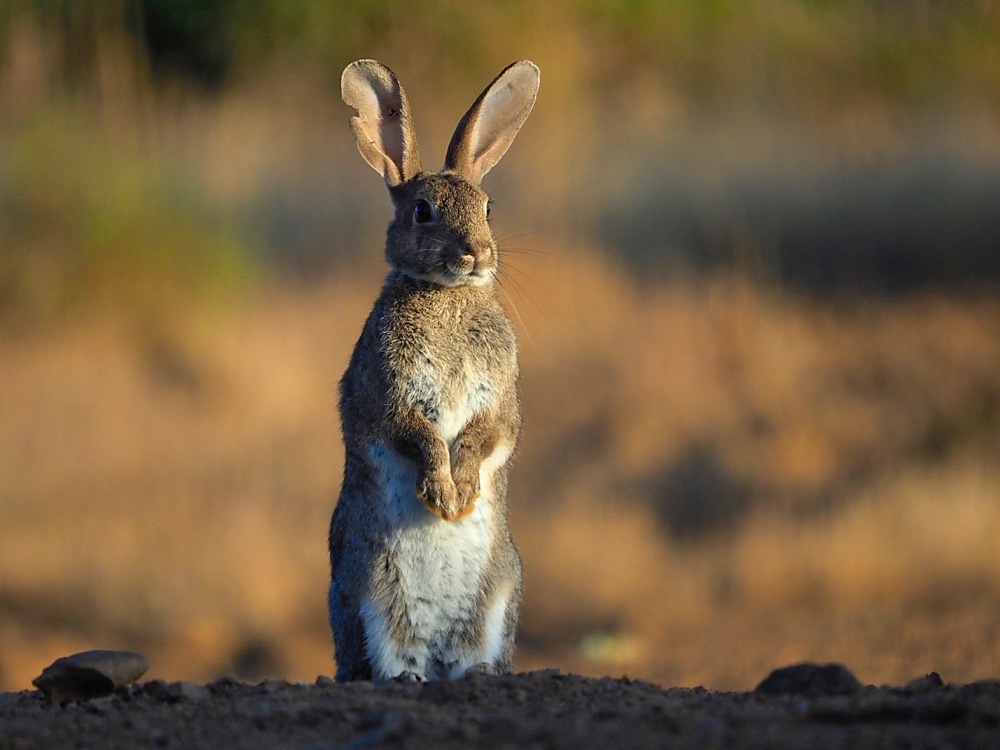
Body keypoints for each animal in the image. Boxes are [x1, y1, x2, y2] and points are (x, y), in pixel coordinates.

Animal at [328, 57, 540, 680]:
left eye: (488, 208)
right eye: (422, 212)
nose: (476, 254)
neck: (447, 294)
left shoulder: (499, 401)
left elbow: (485, 435)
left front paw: (461, 494)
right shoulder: (389, 397)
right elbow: (417, 436)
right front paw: (445, 499)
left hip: (500, 597)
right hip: (369, 594)